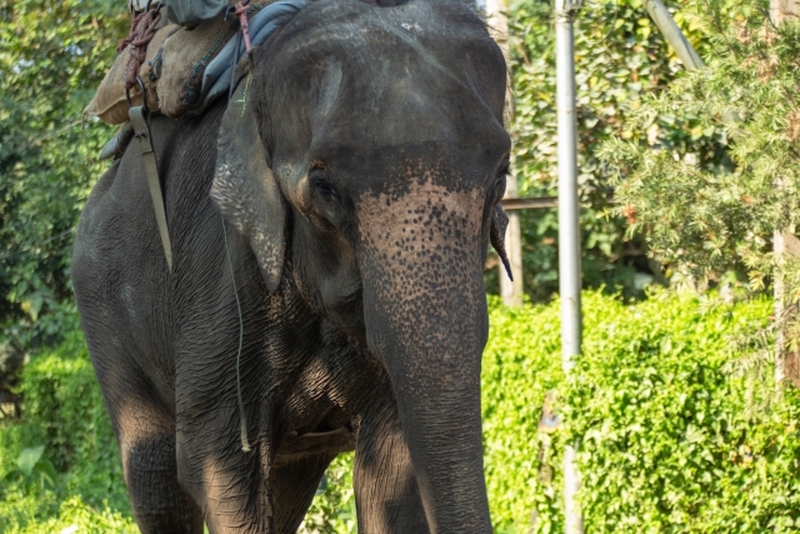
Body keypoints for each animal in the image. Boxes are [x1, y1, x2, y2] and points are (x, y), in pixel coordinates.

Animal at [73, 0, 512, 532]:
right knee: (154, 473)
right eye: (324, 189)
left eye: (502, 177)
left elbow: (391, 473)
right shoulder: (219, 273)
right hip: (102, 306)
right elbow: (213, 465)